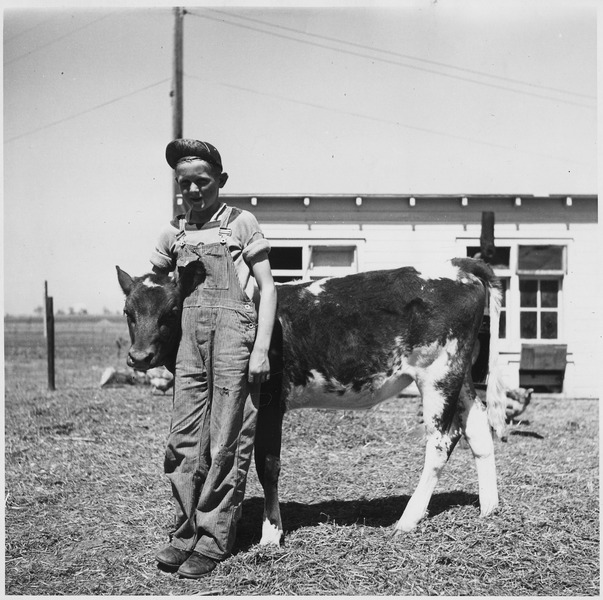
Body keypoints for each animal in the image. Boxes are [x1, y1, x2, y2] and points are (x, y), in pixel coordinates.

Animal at [117, 258, 504, 544]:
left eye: (171, 311)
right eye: (128, 312)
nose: (139, 356)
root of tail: (460, 266)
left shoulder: (270, 402)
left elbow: (267, 465)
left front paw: (271, 533)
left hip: (438, 375)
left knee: (441, 441)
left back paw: (408, 519)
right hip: (460, 376)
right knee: (478, 429)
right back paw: (489, 508)